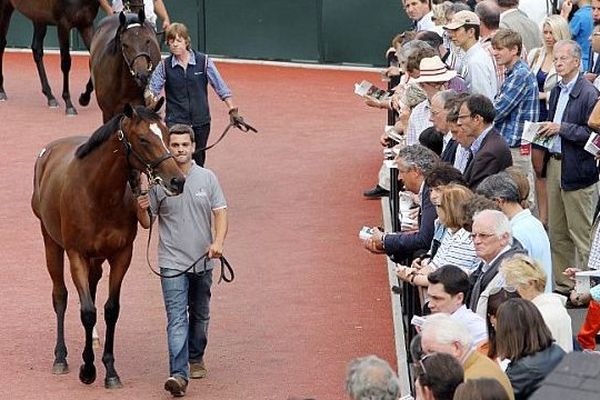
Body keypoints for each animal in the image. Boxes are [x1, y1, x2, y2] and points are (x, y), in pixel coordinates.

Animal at [30, 99, 184, 388]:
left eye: (167, 135)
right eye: (143, 139)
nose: (177, 180)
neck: (96, 192)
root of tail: (48, 151)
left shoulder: (122, 254)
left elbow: (111, 309)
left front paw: (110, 370)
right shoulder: (76, 253)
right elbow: (87, 310)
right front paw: (88, 370)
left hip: (97, 258)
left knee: (90, 287)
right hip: (50, 241)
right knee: (60, 295)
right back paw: (61, 357)